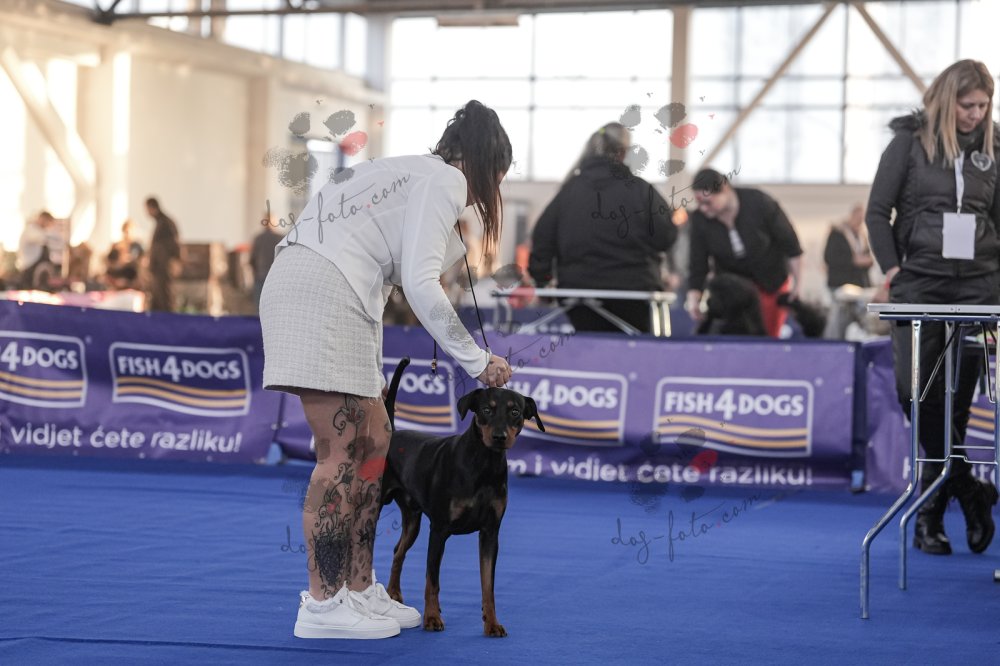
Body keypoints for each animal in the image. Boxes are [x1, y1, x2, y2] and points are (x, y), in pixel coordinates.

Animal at [380, 359, 544, 637]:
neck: (483, 465)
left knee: (397, 551)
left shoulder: (490, 533)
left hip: (412, 519)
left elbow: (488, 584)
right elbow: (432, 580)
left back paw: (394, 593)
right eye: (486, 410)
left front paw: (492, 623)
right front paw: (432, 618)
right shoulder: (439, 530)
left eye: (515, 412)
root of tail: (392, 432)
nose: (499, 437)